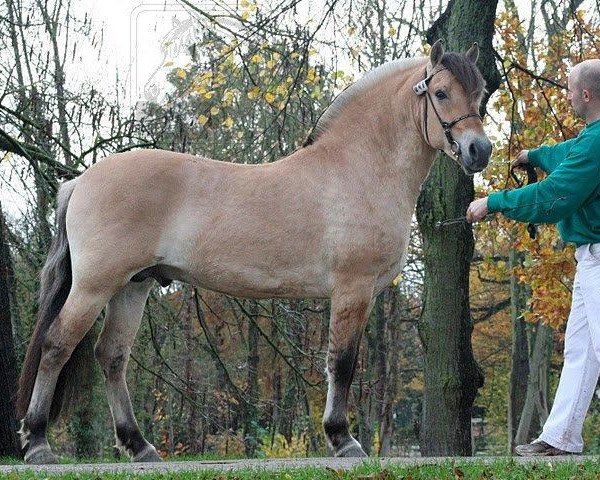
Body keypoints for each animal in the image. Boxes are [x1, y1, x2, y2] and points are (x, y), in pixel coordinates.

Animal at [16, 39, 492, 464]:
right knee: (57, 344)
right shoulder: (352, 289)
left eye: (481, 93)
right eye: (441, 92)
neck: (356, 168)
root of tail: (81, 181)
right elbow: (342, 363)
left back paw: (139, 446)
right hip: (95, 286)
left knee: (111, 356)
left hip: (133, 287)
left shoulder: (363, 293)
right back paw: (38, 443)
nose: (479, 150)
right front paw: (343, 440)